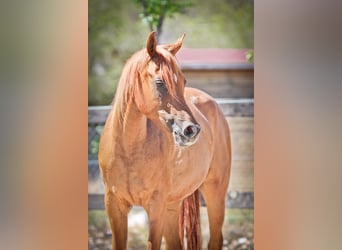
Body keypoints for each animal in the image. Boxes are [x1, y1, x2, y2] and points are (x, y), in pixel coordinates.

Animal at [99, 31, 232, 250]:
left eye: (183, 82)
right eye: (159, 83)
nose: (192, 130)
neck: (129, 151)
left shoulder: (156, 209)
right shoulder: (114, 206)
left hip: (215, 192)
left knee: (216, 239)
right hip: (172, 206)